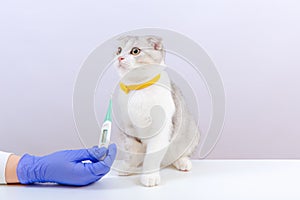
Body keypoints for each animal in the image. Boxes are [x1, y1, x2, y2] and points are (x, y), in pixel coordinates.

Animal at [113, 35, 200, 187]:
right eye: (119, 50)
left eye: (135, 51)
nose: (120, 58)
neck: (138, 89)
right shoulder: (129, 128)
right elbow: (133, 152)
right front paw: (128, 167)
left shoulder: (161, 130)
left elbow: (152, 156)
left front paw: (149, 176)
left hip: (192, 134)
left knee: (180, 153)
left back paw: (183, 162)